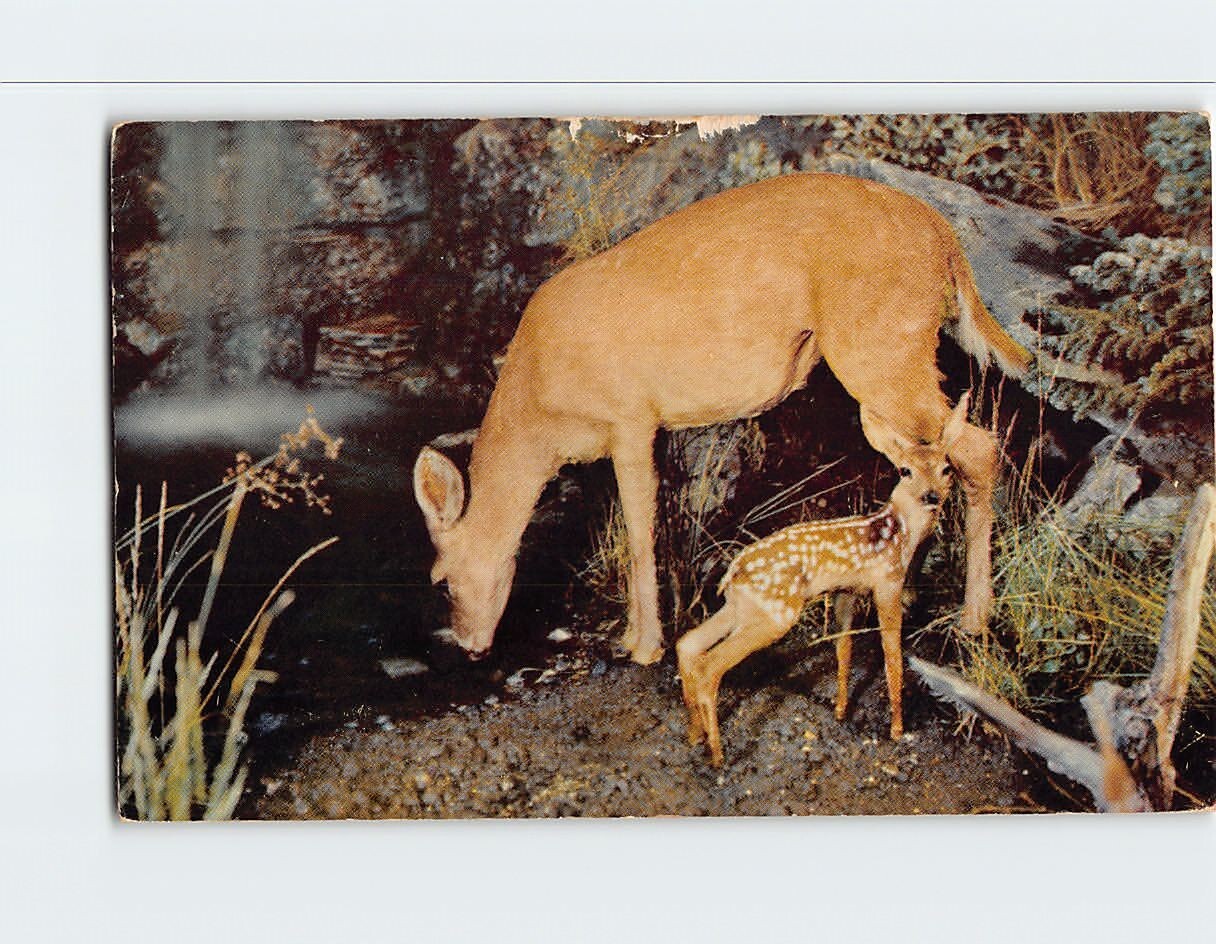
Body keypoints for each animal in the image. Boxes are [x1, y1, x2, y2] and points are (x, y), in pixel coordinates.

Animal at [413, 172, 1031, 666]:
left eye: (439, 583)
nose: (469, 646)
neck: (540, 409)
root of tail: (944, 236)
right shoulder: (650, 429)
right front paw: (639, 634)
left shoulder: (630, 416)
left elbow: (639, 530)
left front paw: (644, 647)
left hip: (882, 349)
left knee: (976, 447)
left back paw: (974, 619)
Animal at [676, 395, 965, 766]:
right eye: (905, 470)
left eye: (947, 468)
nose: (931, 496)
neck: (899, 533)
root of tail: (733, 571)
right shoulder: (887, 583)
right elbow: (892, 655)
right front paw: (897, 729)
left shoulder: (846, 591)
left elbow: (843, 649)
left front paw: (841, 710)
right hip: (776, 614)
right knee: (710, 665)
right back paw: (717, 754)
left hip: (743, 608)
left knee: (688, 644)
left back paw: (694, 736)